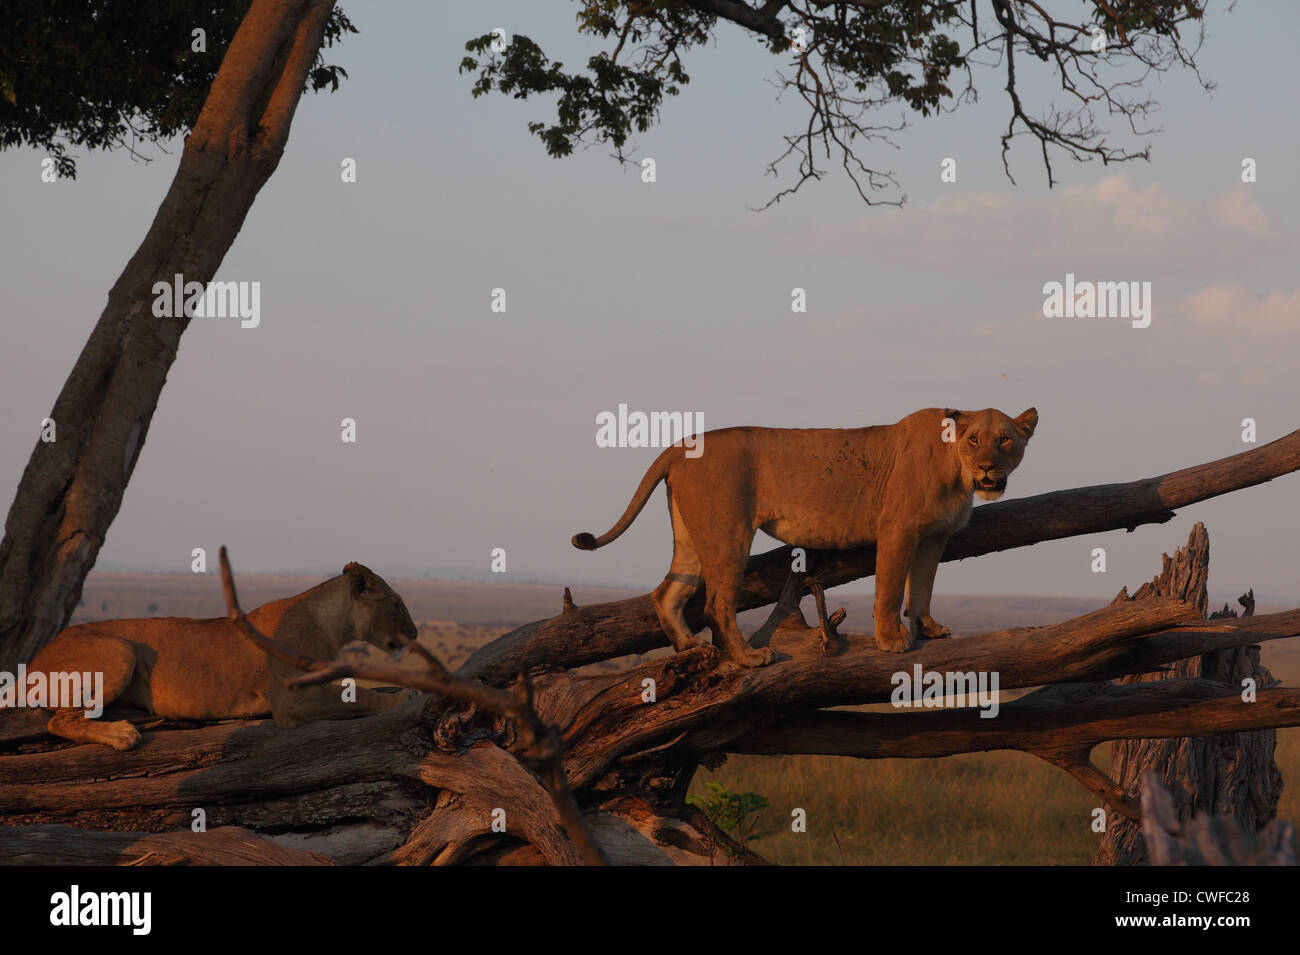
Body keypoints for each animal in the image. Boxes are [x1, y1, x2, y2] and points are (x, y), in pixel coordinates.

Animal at [23, 562, 420, 750]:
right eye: (398, 605)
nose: (416, 634)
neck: (333, 624)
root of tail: (35, 659)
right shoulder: (290, 701)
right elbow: (361, 695)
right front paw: (402, 697)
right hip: (120, 650)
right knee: (60, 721)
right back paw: (121, 734)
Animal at [573, 407, 1037, 666]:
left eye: (1004, 440)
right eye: (974, 439)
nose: (987, 468)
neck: (955, 472)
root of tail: (680, 445)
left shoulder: (933, 538)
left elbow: (922, 587)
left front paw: (928, 627)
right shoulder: (898, 530)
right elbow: (890, 589)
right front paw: (892, 641)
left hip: (690, 538)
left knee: (667, 592)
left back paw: (688, 647)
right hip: (729, 536)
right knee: (716, 604)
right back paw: (749, 658)